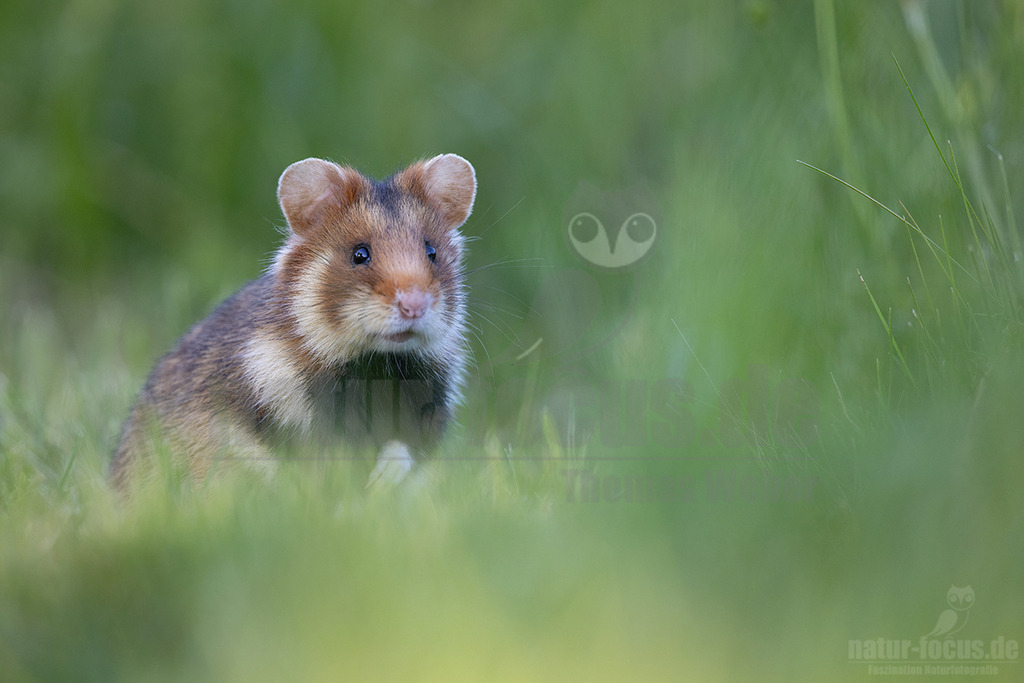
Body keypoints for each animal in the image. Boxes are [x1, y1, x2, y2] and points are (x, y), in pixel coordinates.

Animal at [110, 154, 476, 490]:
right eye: (359, 254)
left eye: (431, 251)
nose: (414, 306)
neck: (379, 364)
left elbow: (399, 452)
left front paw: (382, 482)